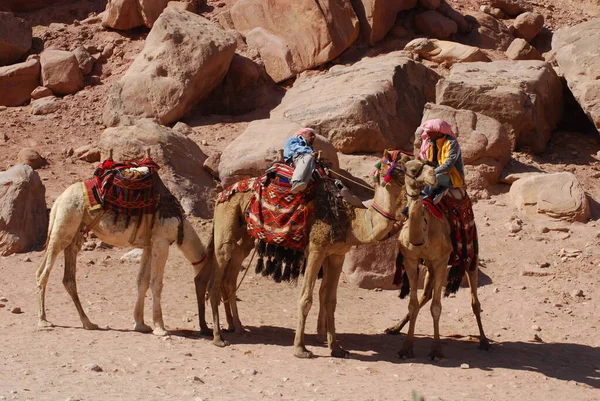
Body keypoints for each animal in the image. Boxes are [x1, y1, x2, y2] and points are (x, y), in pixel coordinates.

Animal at [34, 171, 213, 334]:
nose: (206, 328)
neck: (179, 225)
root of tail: (57, 202)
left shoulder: (149, 245)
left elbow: (142, 282)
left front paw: (141, 324)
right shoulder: (161, 242)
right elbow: (156, 284)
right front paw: (160, 328)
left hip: (73, 234)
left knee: (66, 278)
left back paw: (89, 323)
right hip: (64, 227)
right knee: (44, 273)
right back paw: (43, 320)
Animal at [206, 150, 432, 356]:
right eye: (409, 168)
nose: (432, 175)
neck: (350, 221)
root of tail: (222, 193)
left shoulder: (337, 254)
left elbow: (330, 300)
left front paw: (337, 348)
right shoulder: (316, 249)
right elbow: (306, 298)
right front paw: (300, 348)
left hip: (246, 238)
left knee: (230, 277)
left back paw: (238, 327)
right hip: (226, 226)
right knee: (216, 279)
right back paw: (218, 337)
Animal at [390, 158, 492, 358]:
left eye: (428, 165)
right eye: (412, 169)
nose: (432, 176)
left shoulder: (441, 261)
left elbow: (436, 307)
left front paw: (436, 350)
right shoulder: (410, 260)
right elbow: (413, 304)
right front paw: (406, 347)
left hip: (470, 256)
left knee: (475, 301)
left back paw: (484, 341)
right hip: (429, 265)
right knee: (425, 296)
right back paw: (394, 328)